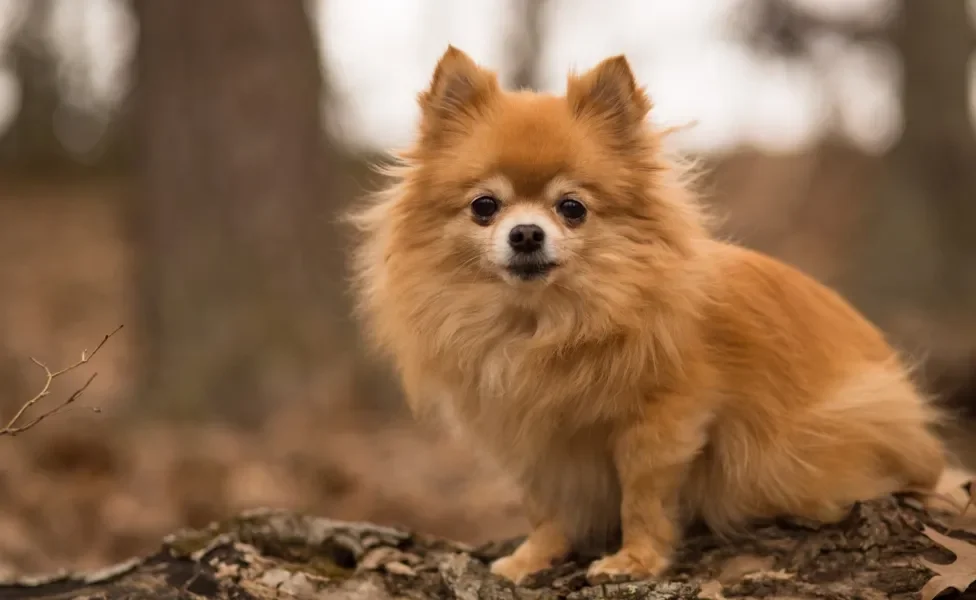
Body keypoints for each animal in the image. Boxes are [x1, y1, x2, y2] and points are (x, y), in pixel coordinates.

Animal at [346, 47, 956, 584]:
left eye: (572, 208)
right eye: (484, 207)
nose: (525, 234)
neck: (543, 323)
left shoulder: (663, 423)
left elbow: (642, 498)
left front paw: (633, 560)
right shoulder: (535, 440)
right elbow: (546, 505)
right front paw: (534, 557)